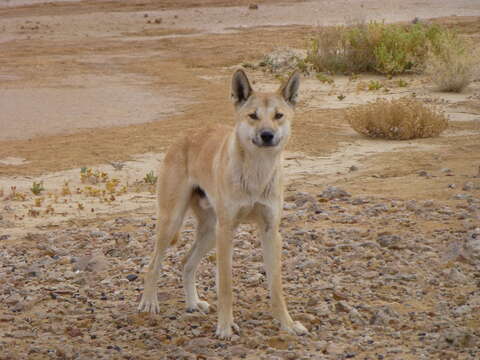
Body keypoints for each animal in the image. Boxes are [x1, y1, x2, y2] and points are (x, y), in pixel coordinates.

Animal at [138, 69, 308, 338]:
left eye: (278, 116)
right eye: (253, 116)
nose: (267, 135)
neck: (256, 173)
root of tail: (185, 135)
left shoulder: (271, 232)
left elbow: (276, 287)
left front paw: (287, 324)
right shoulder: (227, 231)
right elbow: (226, 287)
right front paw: (225, 327)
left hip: (209, 232)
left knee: (186, 263)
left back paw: (193, 303)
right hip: (173, 223)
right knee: (153, 264)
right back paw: (149, 302)